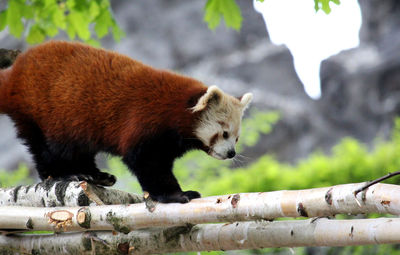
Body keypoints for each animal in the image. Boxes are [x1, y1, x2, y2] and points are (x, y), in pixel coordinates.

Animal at [0, 40, 250, 203]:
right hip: (43, 111)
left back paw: (96, 175)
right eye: (224, 133)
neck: (175, 109)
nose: (231, 153)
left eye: (237, 138)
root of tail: (15, 72)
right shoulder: (144, 121)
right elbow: (147, 163)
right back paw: (64, 174)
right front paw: (176, 195)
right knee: (49, 149)